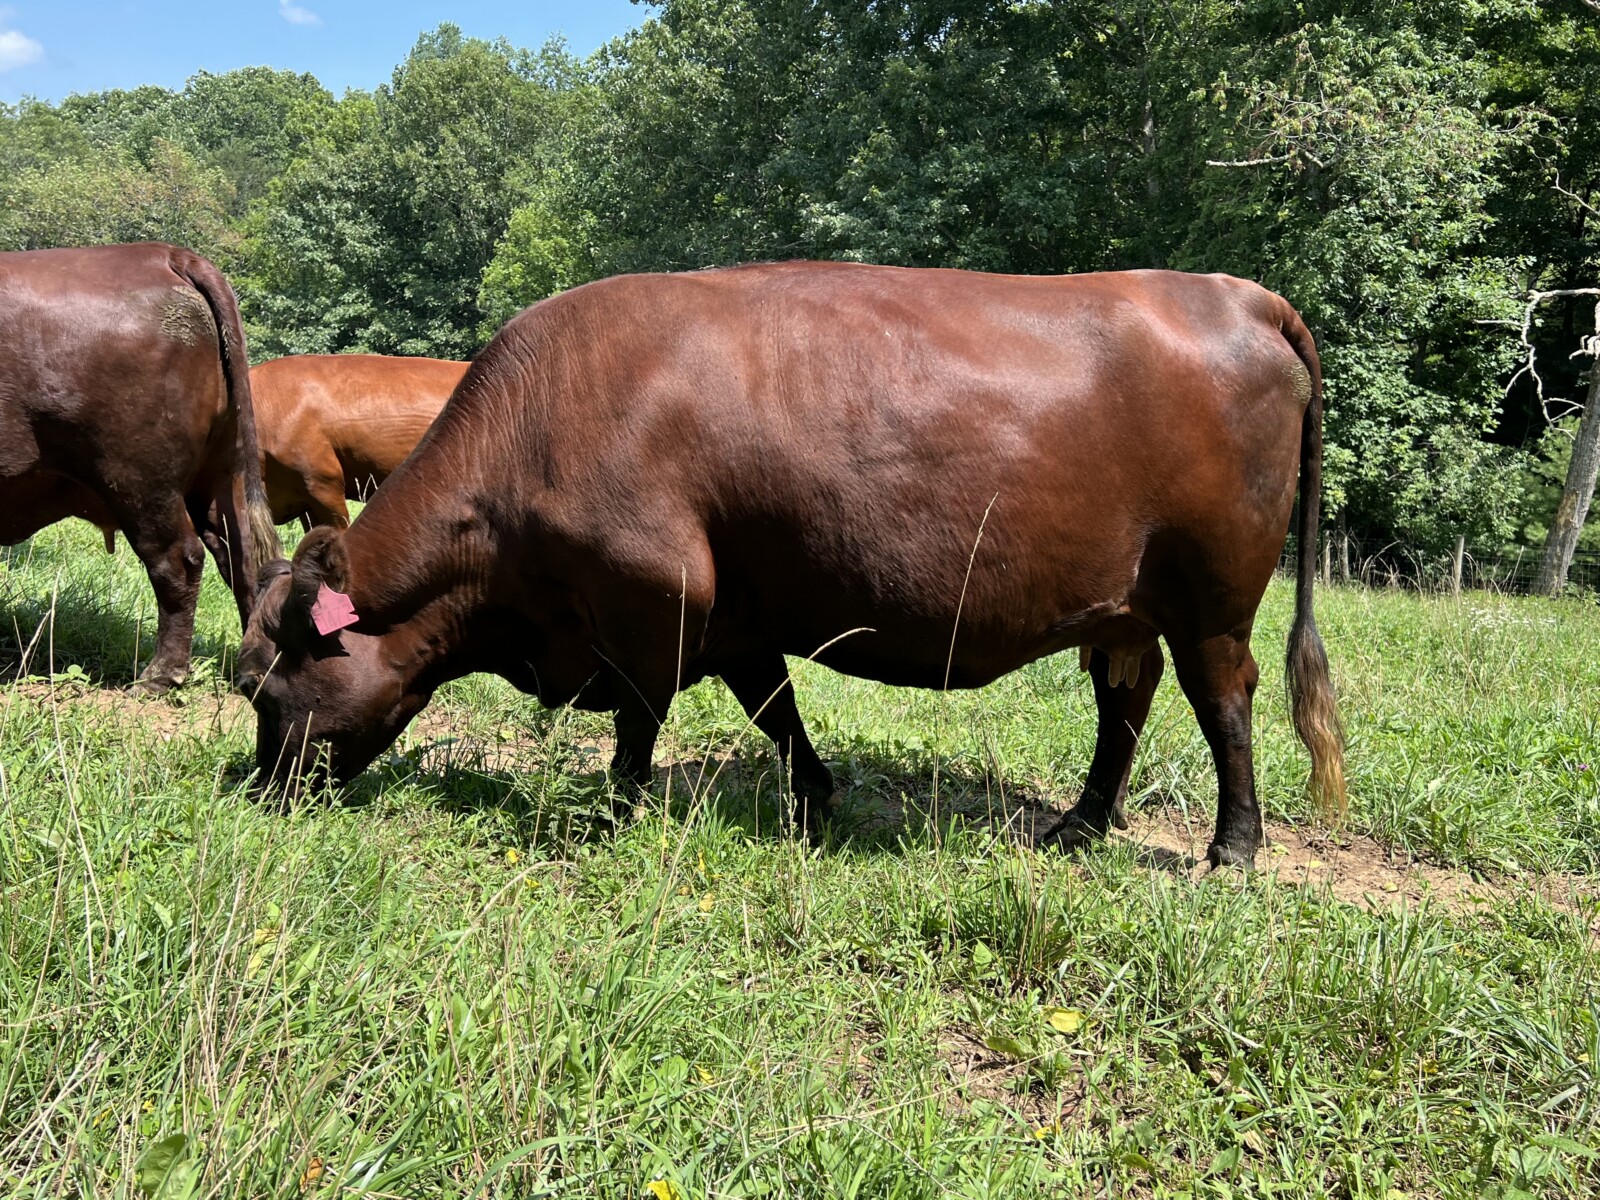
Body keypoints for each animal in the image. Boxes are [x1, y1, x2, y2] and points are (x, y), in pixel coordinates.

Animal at [1, 243, 282, 691]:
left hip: (139, 480)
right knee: (242, 559)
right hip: (221, 475)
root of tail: (166, 255)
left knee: (178, 560)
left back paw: (160, 674)